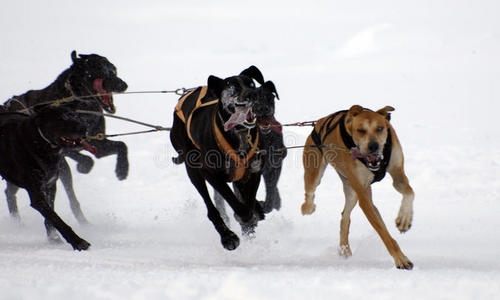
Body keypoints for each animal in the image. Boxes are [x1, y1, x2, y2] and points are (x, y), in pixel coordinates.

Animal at [0, 106, 93, 251]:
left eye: (75, 115)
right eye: (61, 118)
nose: (84, 128)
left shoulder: (50, 185)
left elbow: (50, 216)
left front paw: (53, 238)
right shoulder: (37, 195)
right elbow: (55, 218)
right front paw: (77, 241)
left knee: (9, 193)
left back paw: (17, 223)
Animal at [3, 50, 128, 224]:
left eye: (113, 70)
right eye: (100, 70)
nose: (123, 85)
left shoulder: (98, 142)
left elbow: (122, 145)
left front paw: (122, 170)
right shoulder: (61, 148)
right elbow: (86, 159)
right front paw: (84, 165)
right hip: (53, 169)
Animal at [169, 66, 272, 251]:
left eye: (252, 84)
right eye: (232, 87)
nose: (253, 94)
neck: (240, 134)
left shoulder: (253, 172)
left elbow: (249, 199)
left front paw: (252, 216)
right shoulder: (211, 174)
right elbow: (234, 201)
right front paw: (244, 218)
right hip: (193, 171)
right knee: (211, 209)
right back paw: (227, 236)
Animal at [300, 105, 414, 270]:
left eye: (380, 128)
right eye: (360, 130)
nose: (374, 146)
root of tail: (319, 122)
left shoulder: (398, 174)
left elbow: (409, 193)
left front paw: (404, 219)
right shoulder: (363, 196)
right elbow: (383, 232)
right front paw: (400, 259)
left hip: (352, 191)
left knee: (345, 217)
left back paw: (344, 249)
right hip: (315, 171)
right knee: (310, 193)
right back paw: (308, 207)